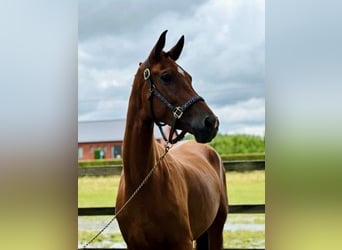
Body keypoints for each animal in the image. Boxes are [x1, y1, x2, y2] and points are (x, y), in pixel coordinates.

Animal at [116, 30, 228, 249]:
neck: (141, 185)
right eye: (166, 77)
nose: (211, 122)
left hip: (217, 229)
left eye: (190, 78)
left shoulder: (183, 243)